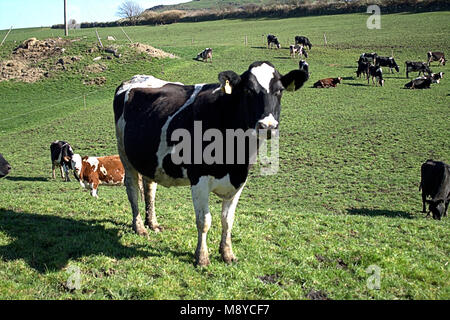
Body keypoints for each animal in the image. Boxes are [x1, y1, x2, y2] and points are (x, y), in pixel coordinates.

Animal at [113, 61, 310, 266]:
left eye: (279, 90)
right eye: (248, 90)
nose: (268, 126)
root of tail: (134, 79)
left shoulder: (239, 181)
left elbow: (228, 220)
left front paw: (227, 253)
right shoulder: (199, 179)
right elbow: (204, 221)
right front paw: (202, 257)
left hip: (149, 160)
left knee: (150, 187)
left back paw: (152, 223)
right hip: (125, 154)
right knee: (132, 189)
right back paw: (139, 227)